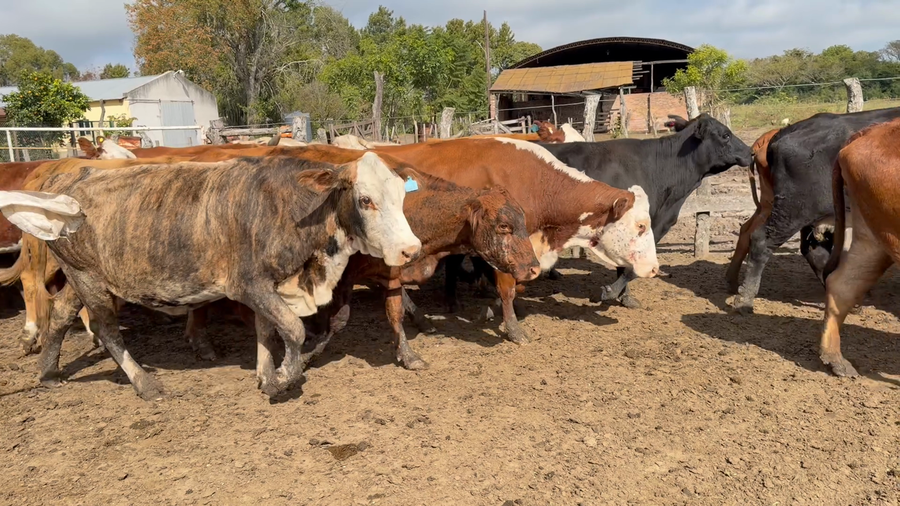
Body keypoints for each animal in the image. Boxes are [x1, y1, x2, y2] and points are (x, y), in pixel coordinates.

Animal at [0, 153, 422, 399]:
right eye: (365, 199)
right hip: (92, 283)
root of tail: (70, 179)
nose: (410, 248)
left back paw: (49, 372)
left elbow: (269, 330)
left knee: (61, 315)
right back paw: (144, 383)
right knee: (105, 329)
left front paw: (266, 374)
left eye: (403, 196)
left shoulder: (269, 287)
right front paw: (284, 376)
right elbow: (293, 329)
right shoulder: (249, 284)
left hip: (82, 277)